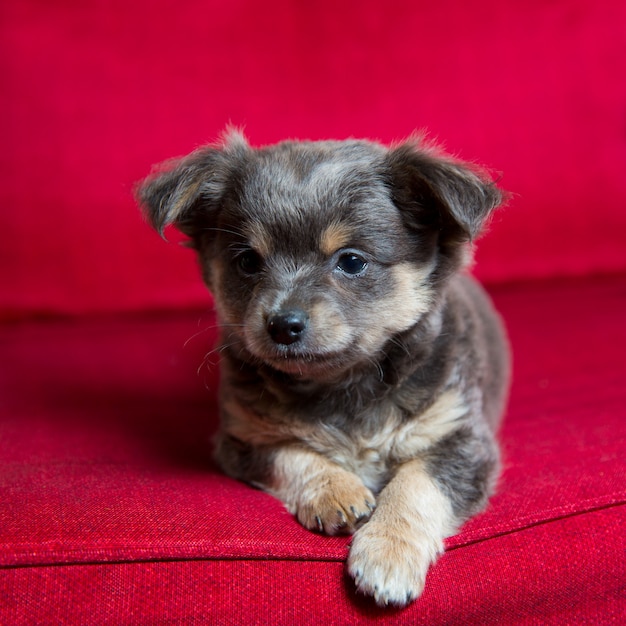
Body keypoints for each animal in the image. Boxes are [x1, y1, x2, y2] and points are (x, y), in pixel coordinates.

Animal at [136, 132, 508, 604]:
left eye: (351, 261)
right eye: (247, 261)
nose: (282, 324)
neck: (338, 385)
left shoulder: (461, 440)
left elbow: (416, 486)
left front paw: (388, 551)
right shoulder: (245, 438)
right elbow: (295, 455)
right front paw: (338, 490)